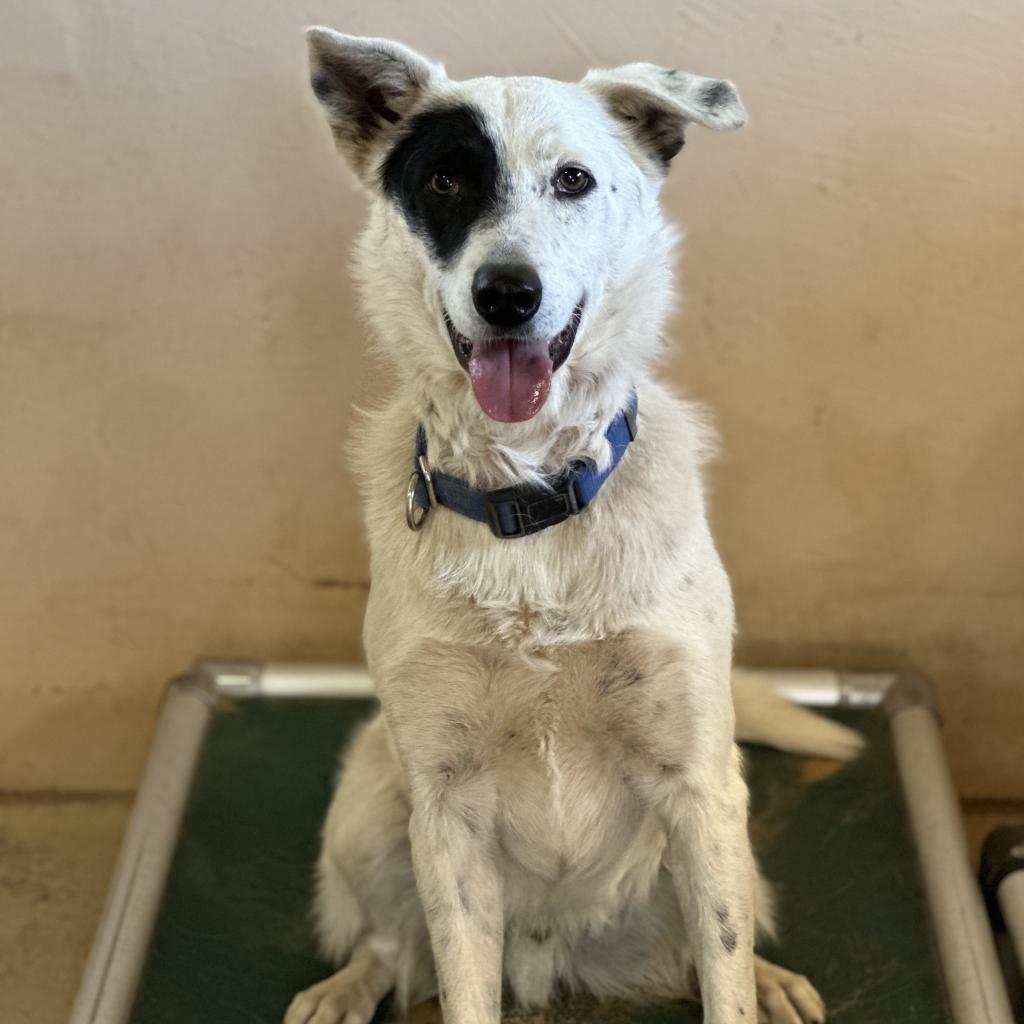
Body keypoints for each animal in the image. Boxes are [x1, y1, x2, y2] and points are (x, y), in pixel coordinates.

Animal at [284, 29, 860, 1024]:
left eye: (574, 180)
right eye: (445, 181)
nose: (508, 293)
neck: (533, 504)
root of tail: (558, 963)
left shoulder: (699, 783)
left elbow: (723, 966)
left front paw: (751, 982)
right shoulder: (445, 808)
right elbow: (459, 980)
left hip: (726, 836)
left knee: (719, 943)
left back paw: (773, 980)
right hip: (367, 803)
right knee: (389, 944)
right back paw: (344, 987)